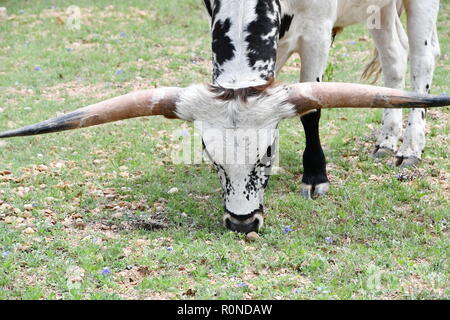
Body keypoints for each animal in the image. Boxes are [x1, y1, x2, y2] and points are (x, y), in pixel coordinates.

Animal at [0, 0, 450, 235]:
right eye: (209, 154)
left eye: (265, 153)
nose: (242, 221)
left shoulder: (318, 30)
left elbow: (311, 109)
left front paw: (315, 176)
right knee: (393, 59)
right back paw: (386, 140)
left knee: (420, 61)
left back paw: (410, 149)